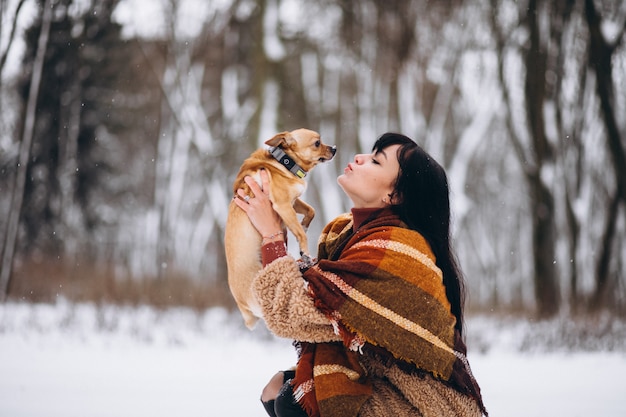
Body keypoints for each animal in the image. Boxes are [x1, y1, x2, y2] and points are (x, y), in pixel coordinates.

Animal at [222, 128, 334, 326]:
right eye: (317, 143)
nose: (334, 148)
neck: (284, 162)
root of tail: (243, 307)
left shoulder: (293, 202)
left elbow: (310, 211)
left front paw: (304, 225)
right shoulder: (283, 205)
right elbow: (301, 233)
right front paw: (305, 252)